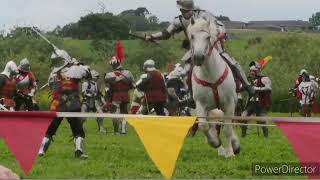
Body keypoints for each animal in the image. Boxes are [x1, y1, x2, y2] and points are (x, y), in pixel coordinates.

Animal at [189, 16, 239, 158]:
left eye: (207, 37)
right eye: (192, 36)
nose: (198, 57)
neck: (210, 75)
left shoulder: (229, 104)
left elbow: (227, 128)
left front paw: (230, 152)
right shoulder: (200, 104)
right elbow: (203, 126)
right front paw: (215, 142)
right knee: (213, 125)